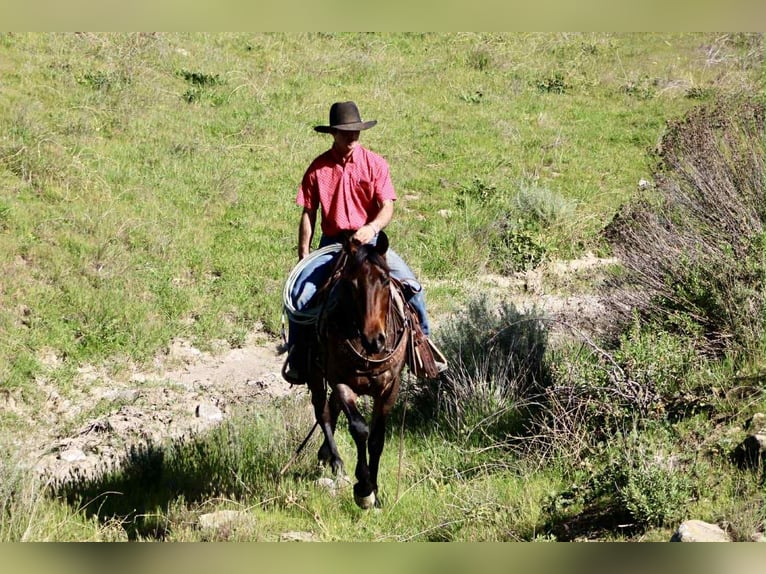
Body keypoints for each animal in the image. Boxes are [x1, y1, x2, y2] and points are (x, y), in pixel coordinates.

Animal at [307, 230, 409, 509]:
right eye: (351, 285)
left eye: (385, 280)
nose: (374, 339)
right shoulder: (341, 381)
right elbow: (359, 428)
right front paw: (363, 488)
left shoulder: (390, 387)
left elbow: (376, 438)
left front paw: (375, 491)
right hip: (316, 375)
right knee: (323, 411)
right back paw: (336, 461)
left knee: (330, 408)